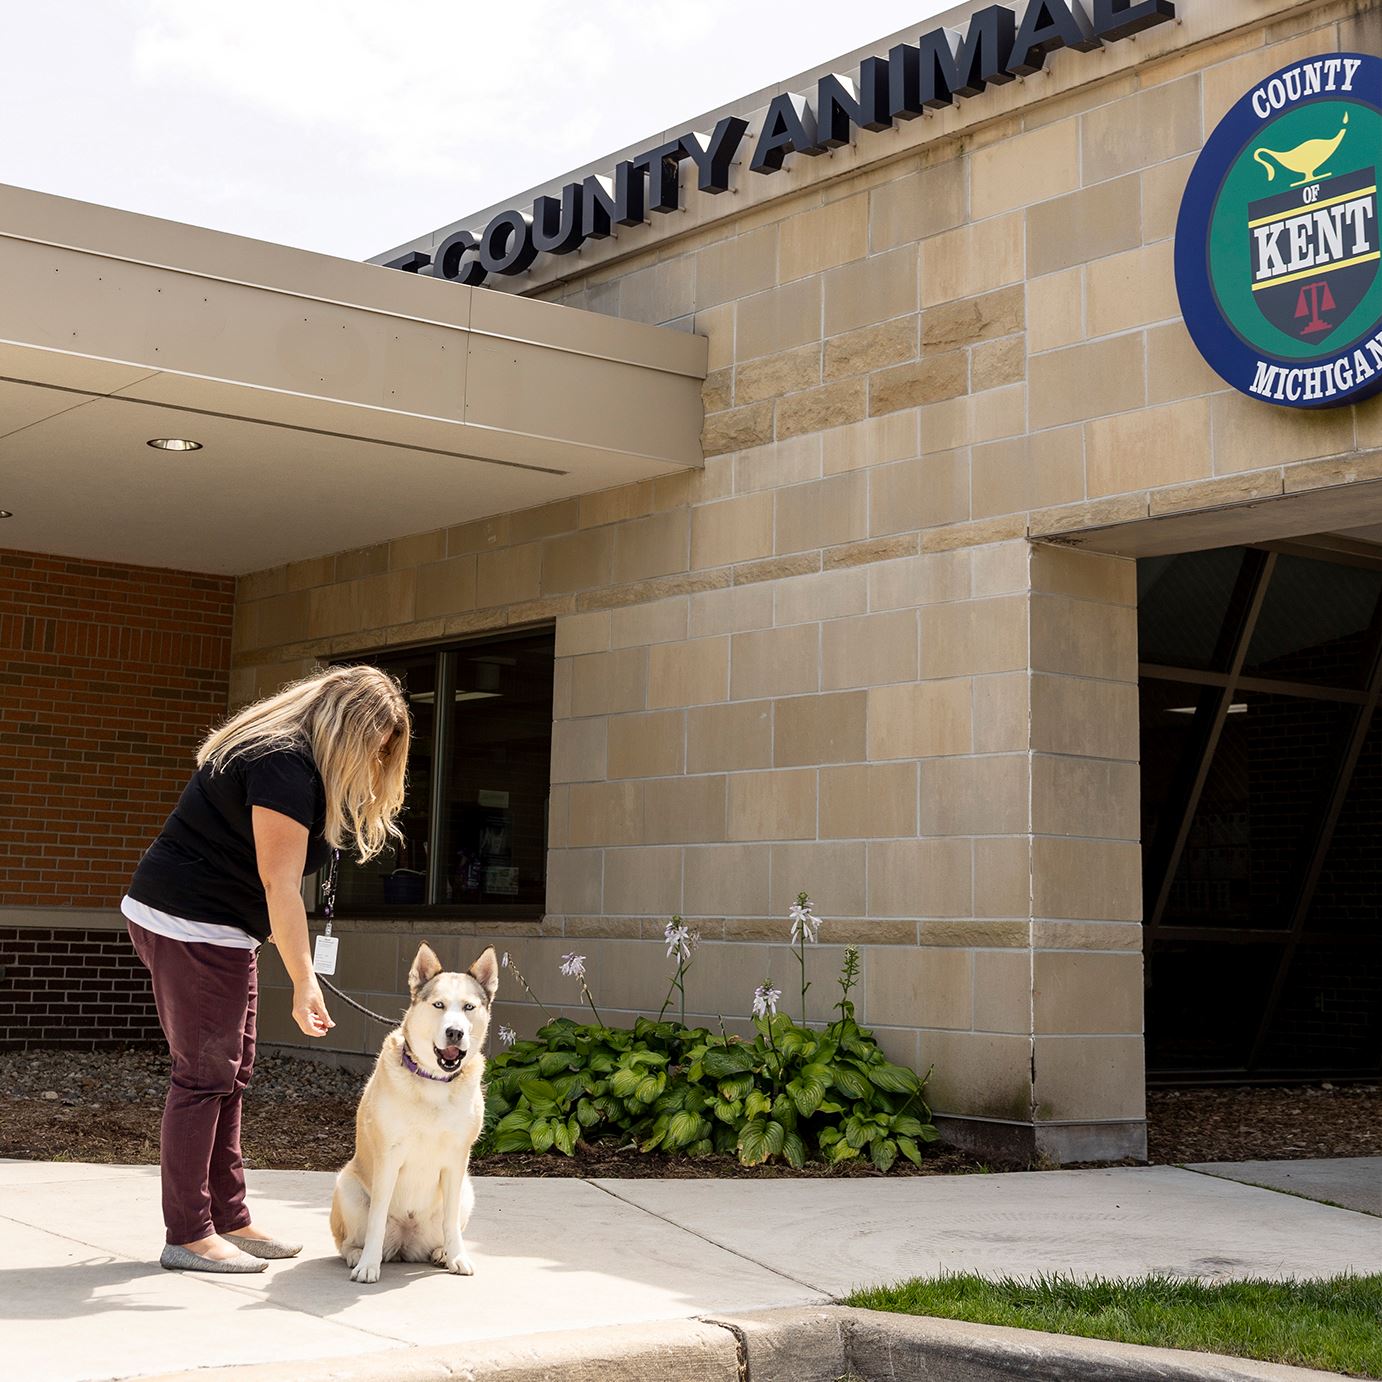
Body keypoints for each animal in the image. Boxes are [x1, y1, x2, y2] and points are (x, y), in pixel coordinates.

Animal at [328, 939, 497, 1282]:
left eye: (469, 1007)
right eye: (439, 1005)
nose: (455, 1032)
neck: (434, 1081)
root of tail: (406, 1243)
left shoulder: (457, 1159)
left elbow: (450, 1221)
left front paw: (457, 1256)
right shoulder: (389, 1156)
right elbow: (377, 1219)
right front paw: (368, 1265)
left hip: (467, 1190)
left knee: (446, 1224)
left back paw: (443, 1252)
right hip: (346, 1186)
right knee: (349, 1240)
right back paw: (357, 1255)